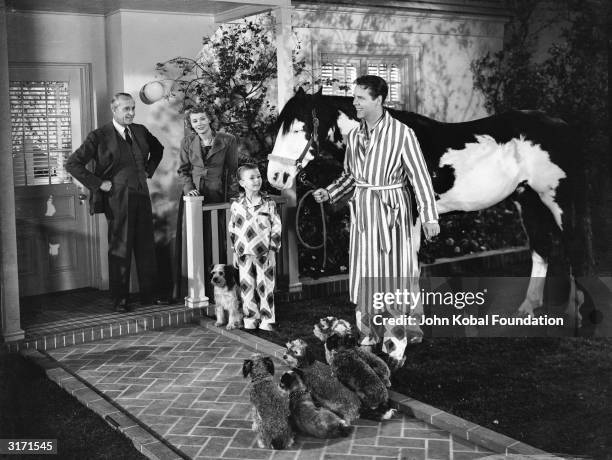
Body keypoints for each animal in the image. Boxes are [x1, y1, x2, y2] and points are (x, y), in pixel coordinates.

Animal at [266, 86, 584, 324]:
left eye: (300, 129)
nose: (275, 176)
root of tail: (562, 125)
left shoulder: (412, 217)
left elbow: (409, 267)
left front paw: (409, 319)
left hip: (557, 201)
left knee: (572, 247)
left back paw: (577, 315)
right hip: (527, 200)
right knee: (542, 250)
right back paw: (528, 308)